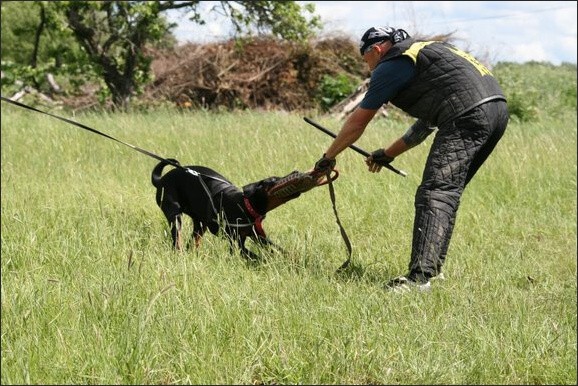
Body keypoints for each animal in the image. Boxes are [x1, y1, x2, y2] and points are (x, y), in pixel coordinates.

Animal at [151, 158, 308, 260]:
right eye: (274, 180)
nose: (296, 171)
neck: (245, 206)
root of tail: (160, 180)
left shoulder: (258, 236)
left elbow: (279, 249)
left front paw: (295, 259)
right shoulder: (237, 243)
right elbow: (255, 256)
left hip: (200, 224)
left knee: (193, 242)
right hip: (175, 215)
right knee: (177, 240)